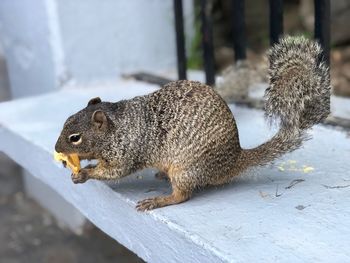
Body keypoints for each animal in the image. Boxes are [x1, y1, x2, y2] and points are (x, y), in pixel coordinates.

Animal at [55, 36, 330, 211]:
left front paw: (87, 173)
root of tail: (233, 160)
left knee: (182, 196)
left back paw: (160, 200)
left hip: (186, 169)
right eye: (65, 121)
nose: (57, 150)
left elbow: (116, 171)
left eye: (75, 137)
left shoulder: (128, 149)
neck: (118, 126)